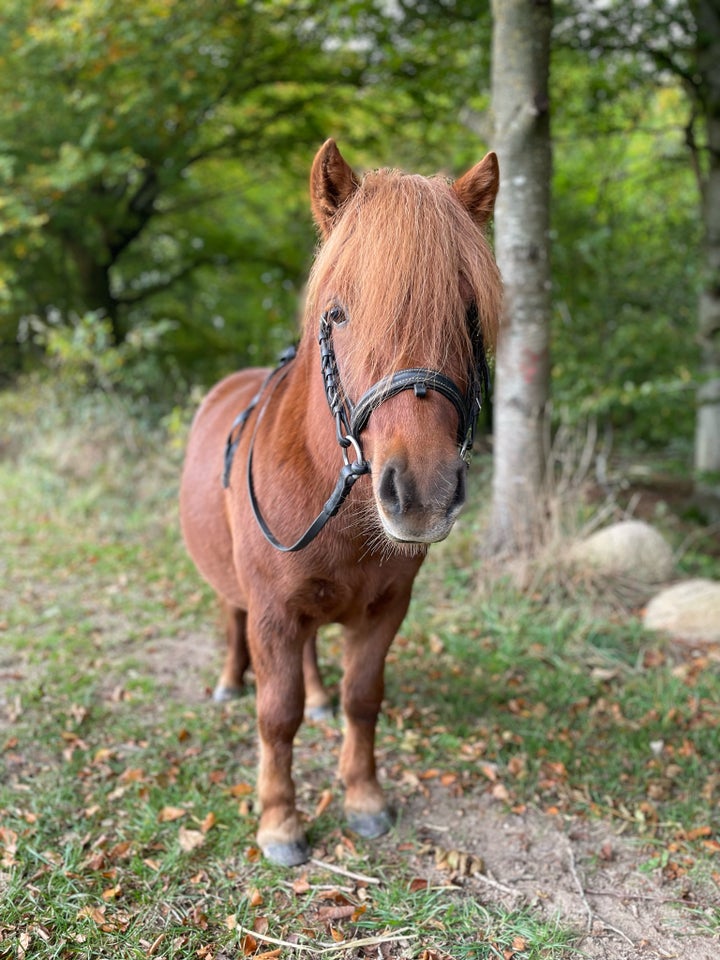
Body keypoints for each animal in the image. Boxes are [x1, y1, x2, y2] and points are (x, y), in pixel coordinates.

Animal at [180, 142, 500, 872]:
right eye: (340, 313)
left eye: (468, 312)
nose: (422, 491)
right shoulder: (272, 612)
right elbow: (277, 714)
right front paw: (279, 821)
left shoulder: (383, 610)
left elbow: (362, 699)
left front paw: (364, 798)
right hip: (237, 592)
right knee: (232, 619)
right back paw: (228, 680)